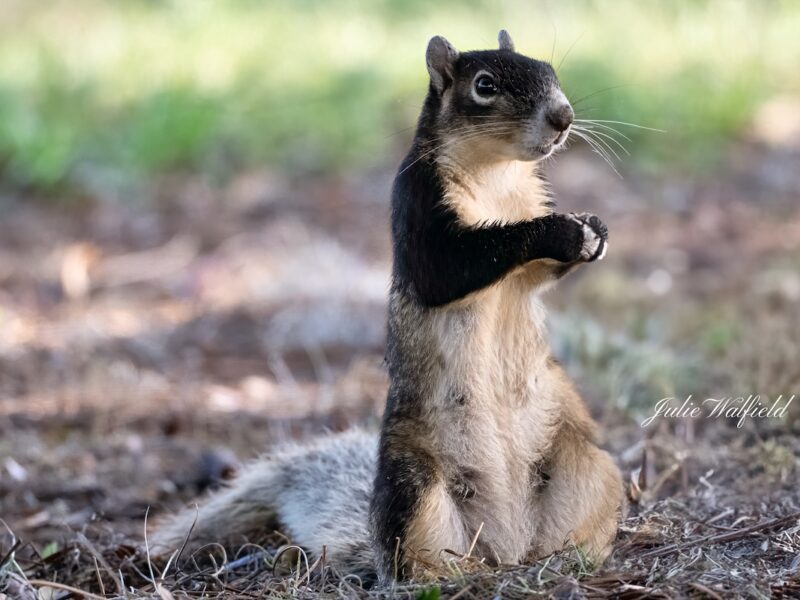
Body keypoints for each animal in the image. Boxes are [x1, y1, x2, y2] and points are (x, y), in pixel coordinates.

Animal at [151, 30, 624, 585]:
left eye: (550, 72)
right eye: (484, 86)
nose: (563, 117)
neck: (498, 173)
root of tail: (503, 547)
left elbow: (541, 275)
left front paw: (596, 230)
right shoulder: (417, 205)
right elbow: (453, 266)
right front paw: (562, 231)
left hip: (590, 466)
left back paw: (568, 558)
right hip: (411, 484)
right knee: (413, 561)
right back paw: (448, 576)